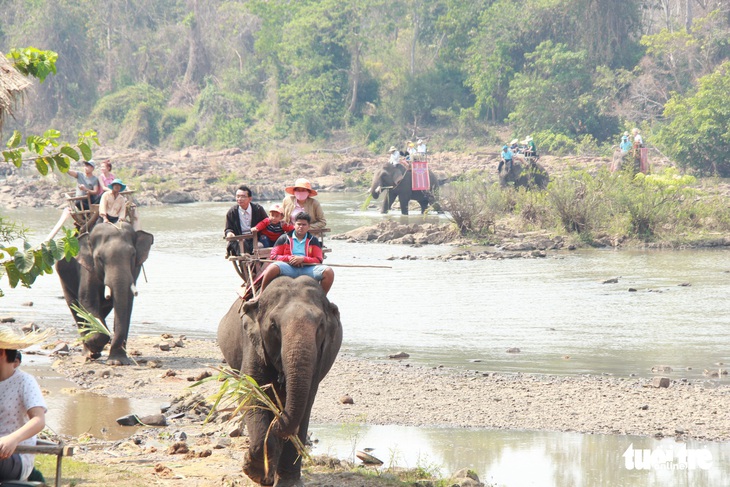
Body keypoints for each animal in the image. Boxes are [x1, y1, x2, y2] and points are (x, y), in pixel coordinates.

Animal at [56, 223, 154, 364]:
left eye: (133, 254)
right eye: (99, 258)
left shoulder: (134, 271)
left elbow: (127, 303)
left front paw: (117, 361)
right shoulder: (88, 269)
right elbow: (87, 300)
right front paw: (93, 343)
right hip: (63, 279)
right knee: (74, 307)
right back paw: (88, 351)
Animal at [216, 276, 342, 486]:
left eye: (321, 326)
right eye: (273, 325)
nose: (277, 423)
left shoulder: (319, 358)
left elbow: (306, 401)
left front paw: (287, 481)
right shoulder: (253, 343)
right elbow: (252, 394)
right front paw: (255, 472)